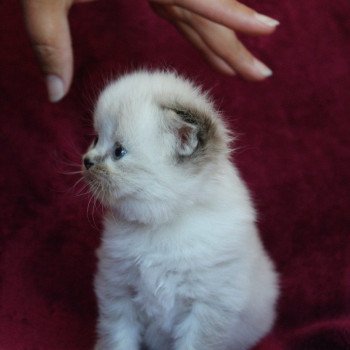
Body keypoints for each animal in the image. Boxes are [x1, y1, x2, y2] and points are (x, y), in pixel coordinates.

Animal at [82, 69, 278, 350]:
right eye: (96, 139)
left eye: (119, 152)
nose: (86, 161)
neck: (160, 225)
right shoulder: (119, 291)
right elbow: (118, 339)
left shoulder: (205, 310)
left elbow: (194, 344)